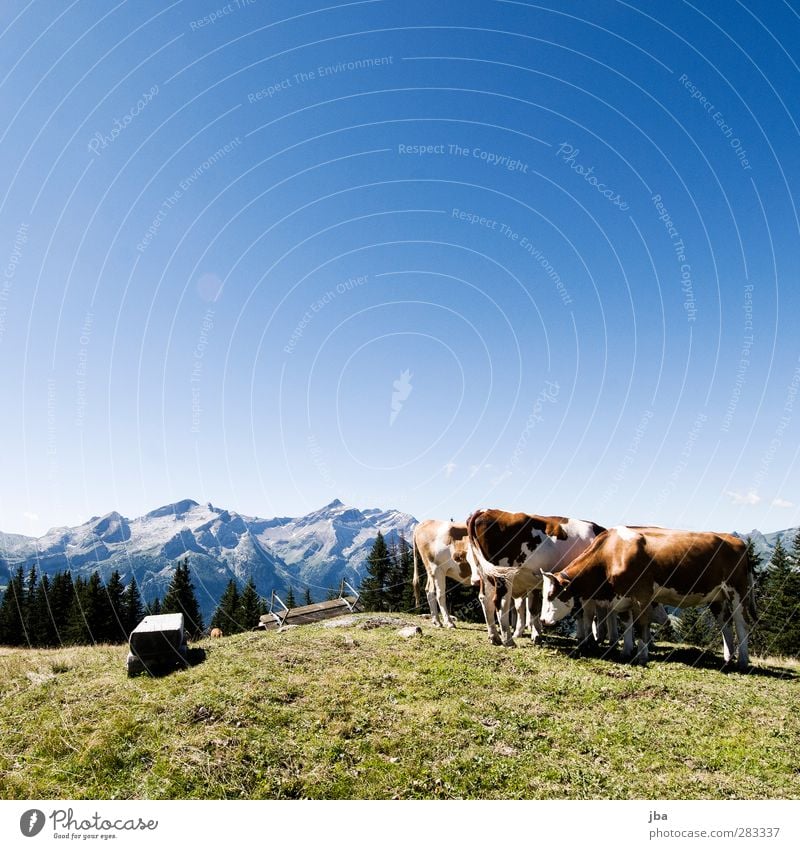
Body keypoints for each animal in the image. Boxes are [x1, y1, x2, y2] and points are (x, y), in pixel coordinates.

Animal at [466, 510, 604, 644]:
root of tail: (484, 511)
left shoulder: (534, 584)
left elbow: (533, 609)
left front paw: (537, 635)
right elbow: (588, 613)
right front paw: (588, 638)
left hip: (485, 574)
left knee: (485, 599)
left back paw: (494, 637)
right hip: (503, 575)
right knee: (500, 602)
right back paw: (508, 640)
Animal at [536, 524, 756, 668]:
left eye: (551, 594)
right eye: (545, 595)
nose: (543, 620)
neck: (611, 554)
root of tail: (736, 540)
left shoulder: (642, 594)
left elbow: (641, 625)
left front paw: (641, 655)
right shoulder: (622, 595)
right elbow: (626, 623)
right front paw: (626, 651)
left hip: (738, 590)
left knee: (741, 623)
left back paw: (742, 661)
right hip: (717, 596)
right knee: (725, 623)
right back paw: (728, 658)